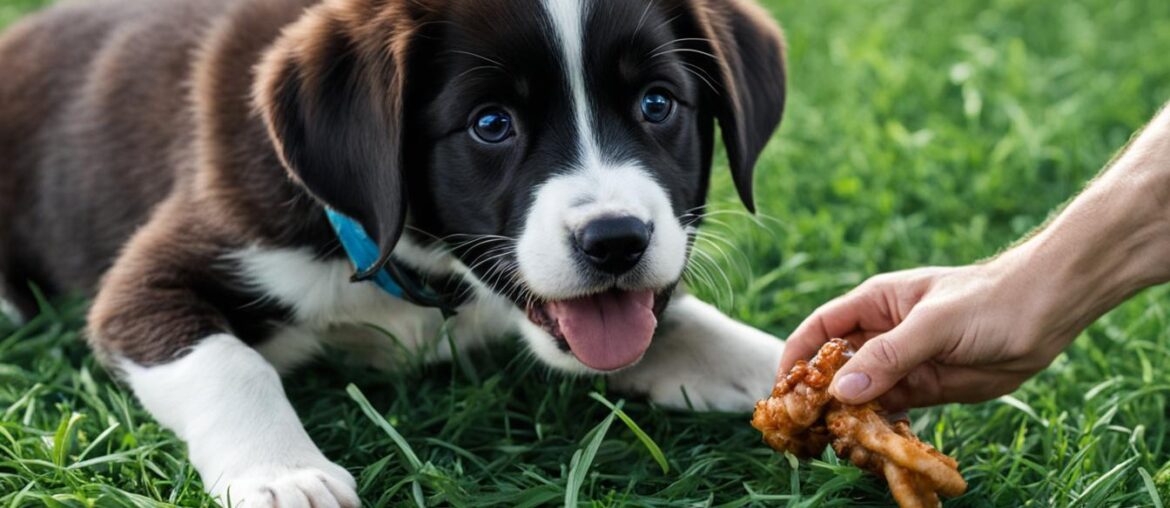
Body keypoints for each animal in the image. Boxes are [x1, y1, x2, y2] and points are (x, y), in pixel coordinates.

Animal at [0, 0, 790, 500]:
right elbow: (231, 364)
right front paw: (283, 476)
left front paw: (803, 365)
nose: (617, 241)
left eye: (657, 104)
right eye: (490, 124)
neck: (413, 265)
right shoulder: (152, 279)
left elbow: (697, 328)